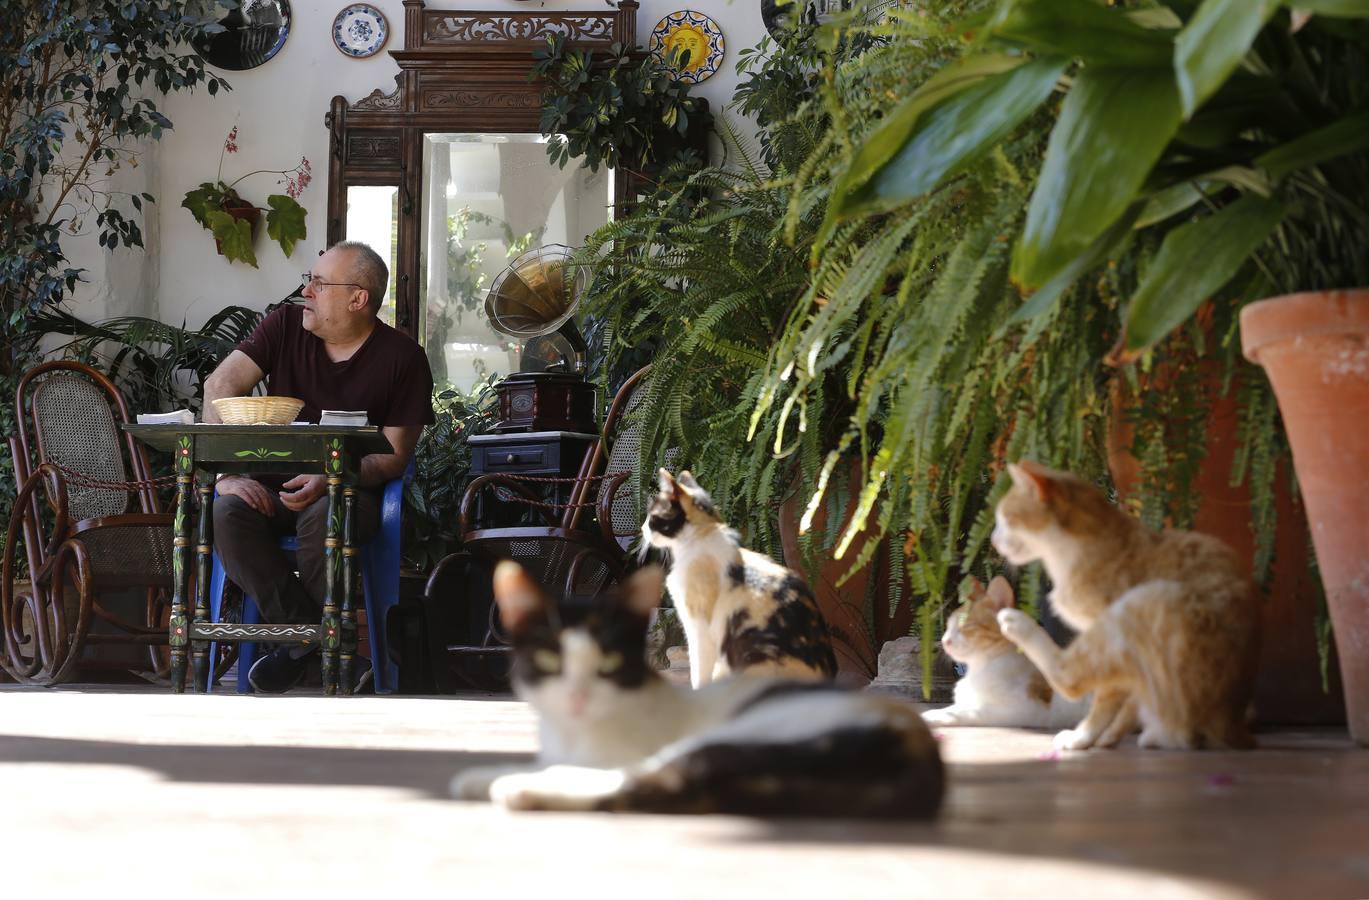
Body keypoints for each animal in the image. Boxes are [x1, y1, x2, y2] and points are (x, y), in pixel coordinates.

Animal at [449, 561, 941, 816]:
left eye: (609, 663)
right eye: (550, 661)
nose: (578, 698)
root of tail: (916, 747)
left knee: (643, 779)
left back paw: (517, 788)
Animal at [919, 575, 1089, 728]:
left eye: (966, 626)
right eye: (948, 626)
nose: (944, 640)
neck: (980, 666)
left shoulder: (1024, 709)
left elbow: (968, 712)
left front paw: (933, 716)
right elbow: (954, 707)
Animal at [991, 460, 1254, 745]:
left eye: (1006, 519)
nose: (993, 539)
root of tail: (1232, 725)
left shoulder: (1110, 636)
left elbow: (1102, 699)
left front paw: (1084, 738)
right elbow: (1125, 703)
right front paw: (1108, 738)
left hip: (1147, 599)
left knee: (1068, 678)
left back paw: (1018, 624)